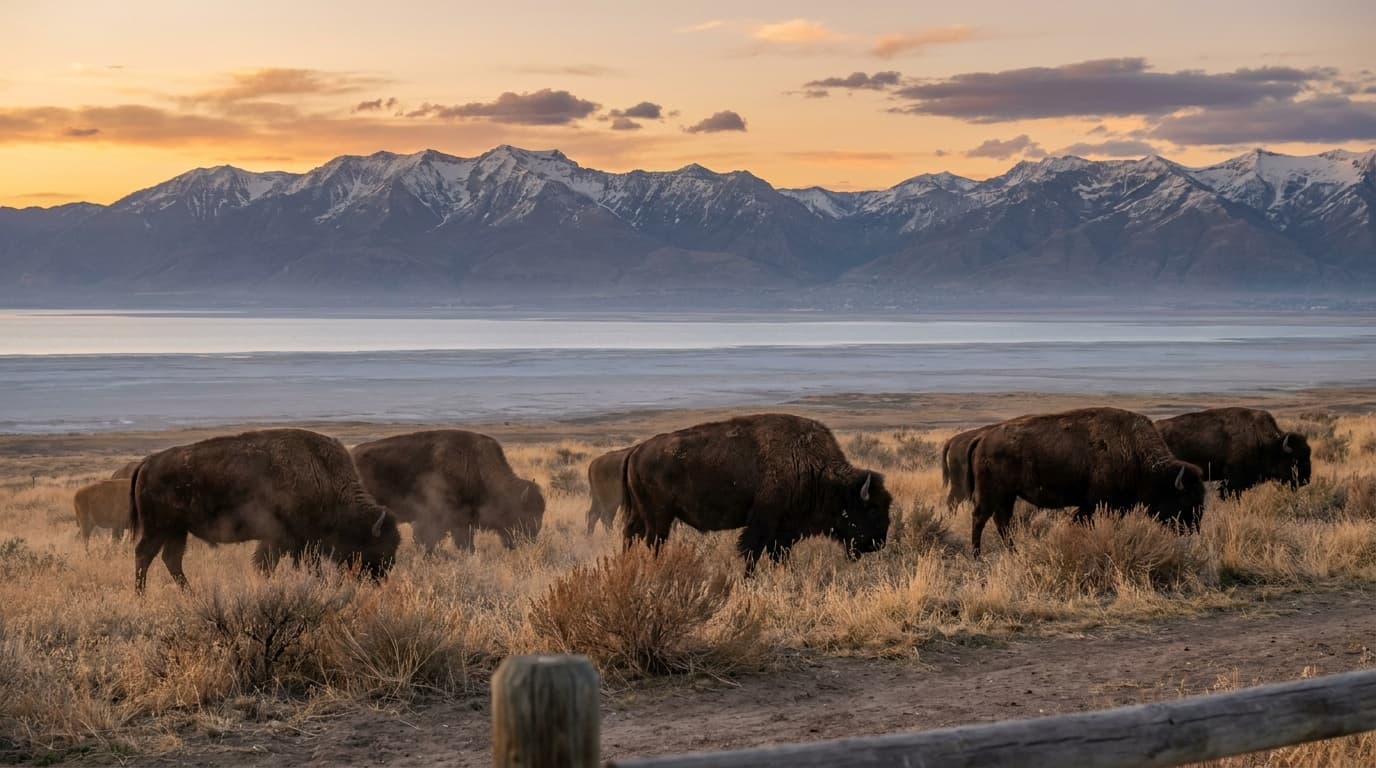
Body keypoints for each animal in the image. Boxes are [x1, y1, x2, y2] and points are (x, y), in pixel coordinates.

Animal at [129, 428, 400, 592]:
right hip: (158, 528)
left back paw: (191, 594)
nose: (380, 578)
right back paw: (141, 596)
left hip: (177, 530)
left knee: (171, 559)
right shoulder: (287, 540)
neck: (321, 475)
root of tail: (148, 462)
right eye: (376, 546)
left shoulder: (293, 543)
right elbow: (277, 565)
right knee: (144, 555)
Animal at [622, 413, 892, 573]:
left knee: (630, 535)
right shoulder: (764, 522)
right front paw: (748, 581)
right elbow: (752, 552)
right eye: (871, 509)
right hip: (659, 517)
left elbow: (778, 554)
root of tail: (637, 450)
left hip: (640, 514)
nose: (878, 543)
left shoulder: (785, 530)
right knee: (653, 542)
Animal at [966, 407, 1206, 556]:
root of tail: (983, 438)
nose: (1192, 531)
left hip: (1007, 496)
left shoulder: (1101, 506)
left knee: (1002, 522)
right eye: (1185, 500)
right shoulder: (1100, 504)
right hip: (992, 493)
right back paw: (977, 555)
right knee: (981, 518)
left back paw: (1013, 552)